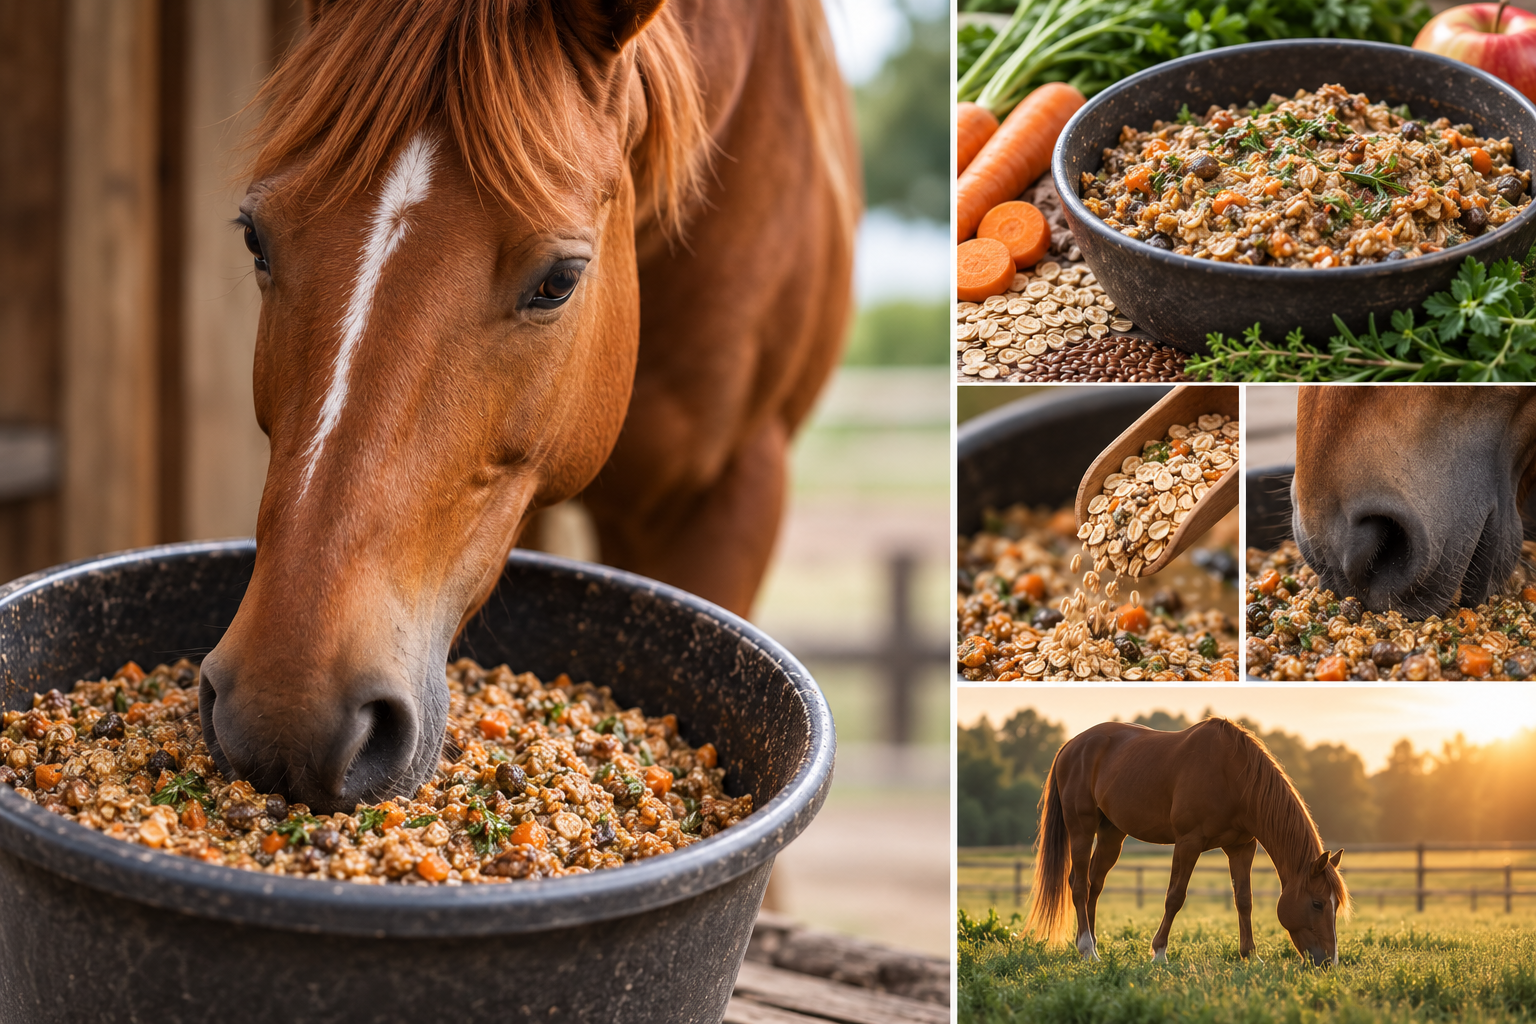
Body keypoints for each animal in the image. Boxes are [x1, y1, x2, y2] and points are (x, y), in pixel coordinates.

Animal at [1027, 718, 1348, 966]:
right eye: (1318, 903)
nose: (1328, 962)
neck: (1232, 776)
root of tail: (1071, 745)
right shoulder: (1188, 843)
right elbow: (1175, 897)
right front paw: (1159, 953)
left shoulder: (1242, 848)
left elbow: (1244, 900)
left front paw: (1250, 955)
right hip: (1081, 828)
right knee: (1080, 885)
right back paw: (1087, 950)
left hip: (1112, 835)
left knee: (1095, 885)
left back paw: (1092, 945)